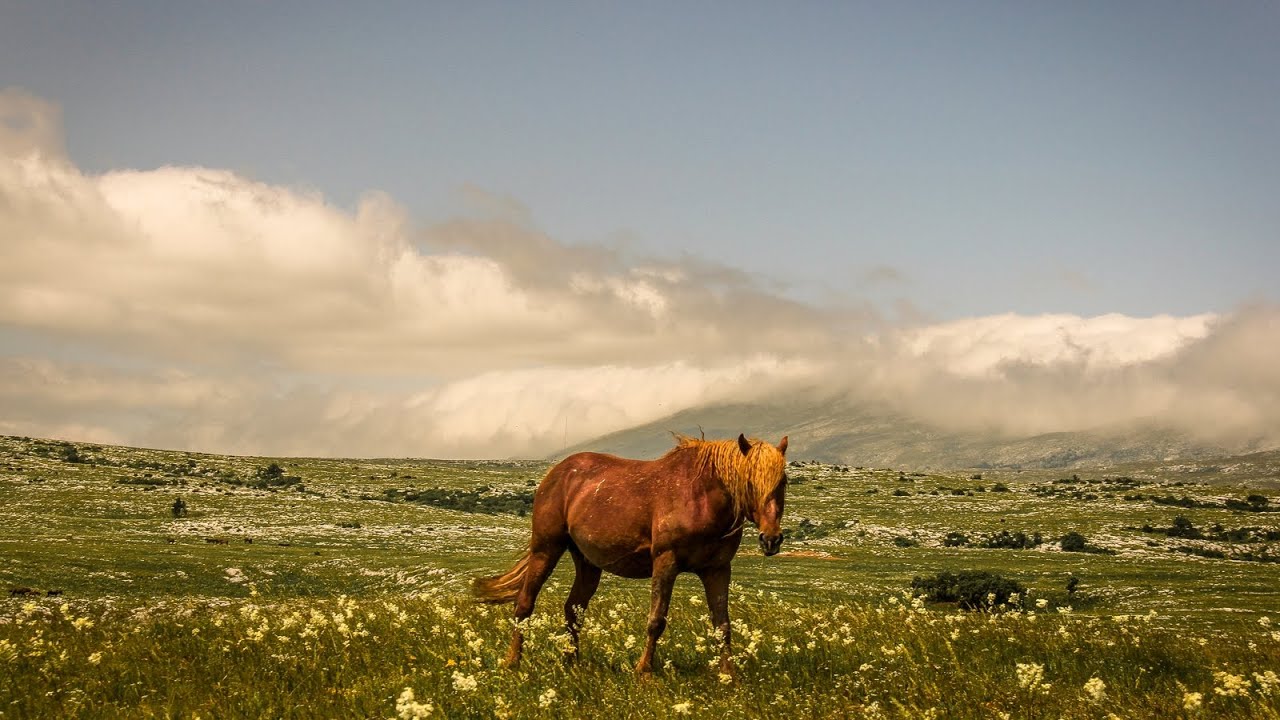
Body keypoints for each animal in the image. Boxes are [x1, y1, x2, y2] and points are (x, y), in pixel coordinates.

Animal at [473, 433, 789, 675]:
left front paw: (729, 676)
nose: (771, 539)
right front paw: (644, 671)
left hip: (587, 563)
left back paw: (571, 662)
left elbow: (722, 626)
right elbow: (656, 621)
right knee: (524, 603)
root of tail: (557, 472)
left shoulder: (718, 569)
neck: (699, 497)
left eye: (783, 482)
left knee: (573, 609)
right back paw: (512, 661)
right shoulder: (665, 563)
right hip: (546, 548)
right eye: (750, 481)